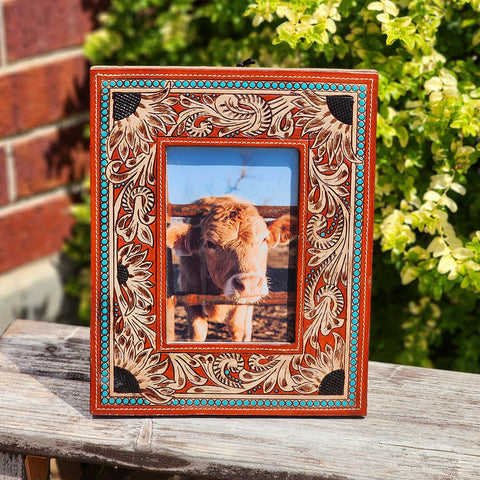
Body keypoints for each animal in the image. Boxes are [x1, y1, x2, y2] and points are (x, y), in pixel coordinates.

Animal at [166, 196, 296, 342]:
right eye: (210, 243)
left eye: (264, 239)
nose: (250, 283)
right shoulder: (188, 292)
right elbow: (198, 331)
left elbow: (236, 327)